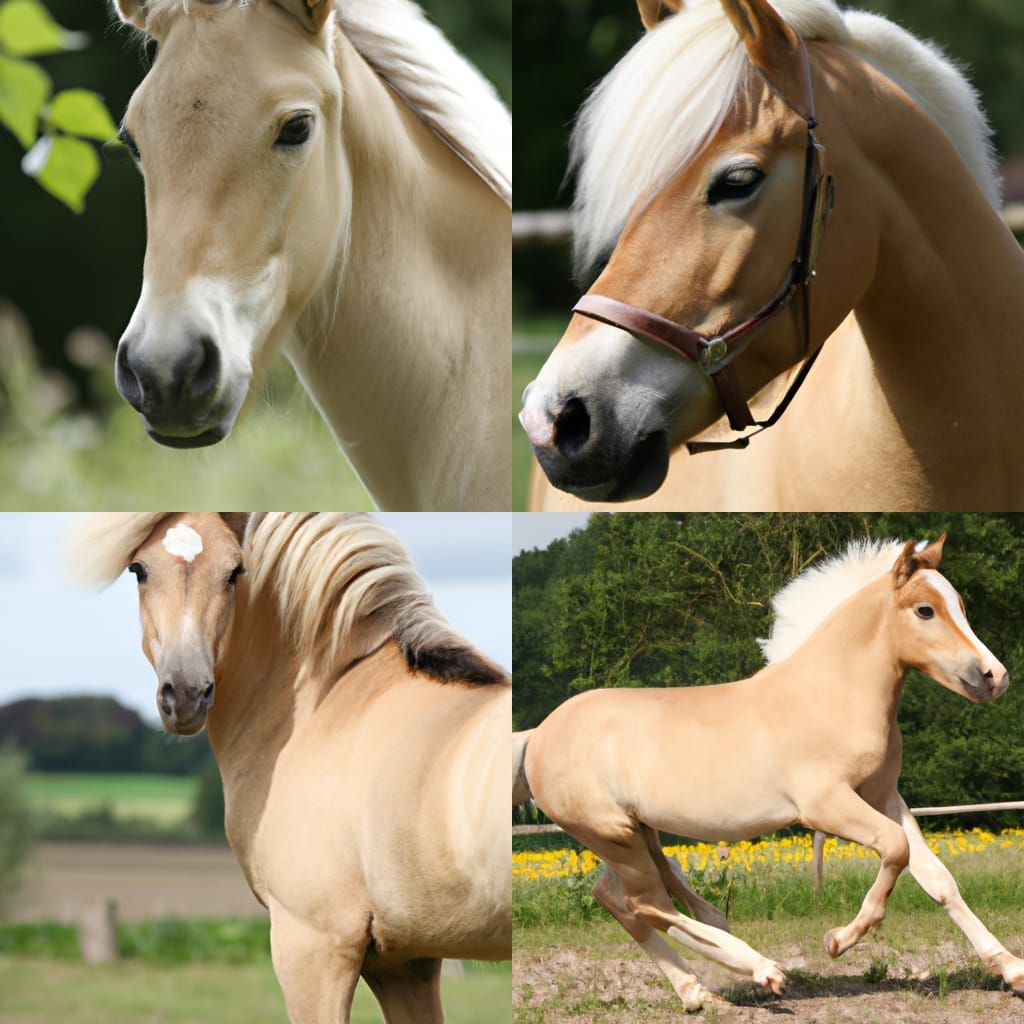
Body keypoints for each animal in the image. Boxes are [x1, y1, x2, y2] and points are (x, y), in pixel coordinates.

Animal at [72, 512, 511, 1023]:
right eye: (139, 569)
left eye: (235, 571)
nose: (184, 693)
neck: (327, 702)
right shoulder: (405, 961)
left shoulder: (311, 945)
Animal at [519, 535, 1024, 1011]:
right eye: (925, 610)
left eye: (961, 605)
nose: (994, 676)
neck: (834, 693)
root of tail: (536, 737)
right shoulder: (825, 805)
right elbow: (895, 850)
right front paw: (838, 940)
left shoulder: (884, 797)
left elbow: (938, 879)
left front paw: (1010, 969)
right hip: (615, 837)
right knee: (647, 904)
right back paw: (761, 970)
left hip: (636, 833)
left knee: (622, 898)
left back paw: (699, 991)